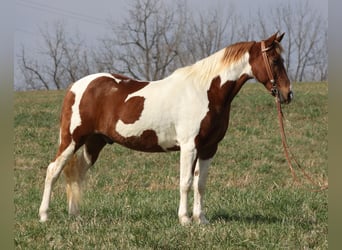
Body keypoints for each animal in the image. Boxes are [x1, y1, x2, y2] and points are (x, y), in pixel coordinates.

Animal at [38, 31, 292, 225]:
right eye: (275, 61)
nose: (288, 94)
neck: (206, 91)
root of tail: (76, 86)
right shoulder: (189, 147)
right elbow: (185, 182)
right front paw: (185, 219)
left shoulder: (209, 148)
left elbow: (200, 183)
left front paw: (201, 219)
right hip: (72, 140)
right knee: (53, 170)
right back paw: (44, 215)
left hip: (94, 143)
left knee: (77, 172)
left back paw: (75, 215)